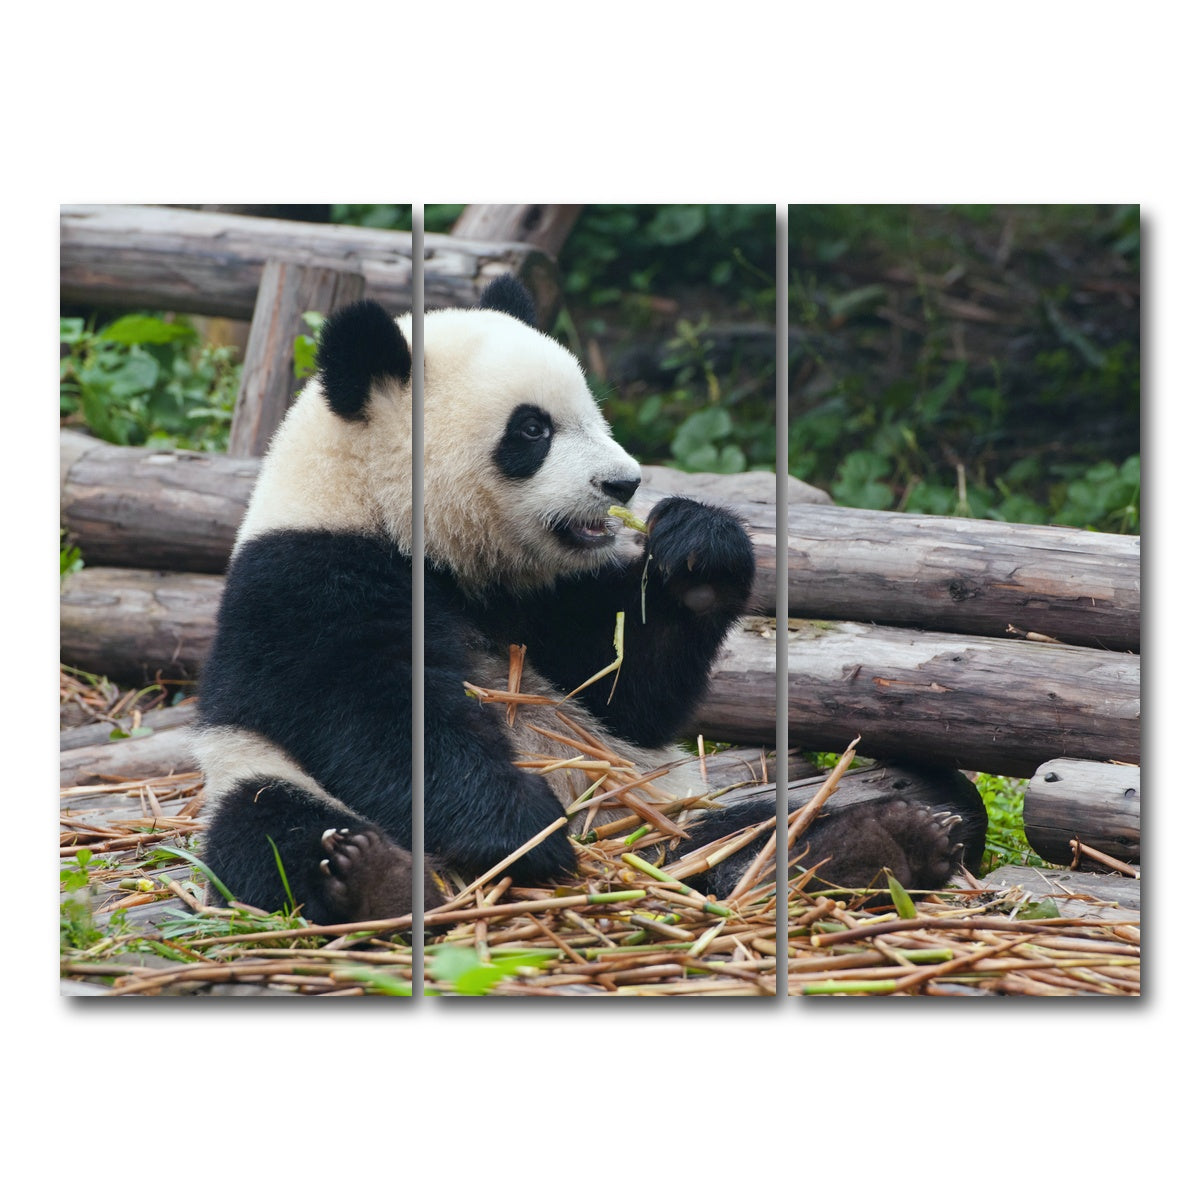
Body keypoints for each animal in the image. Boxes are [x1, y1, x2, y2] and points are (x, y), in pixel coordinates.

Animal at [194, 274, 986, 924]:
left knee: (751, 828)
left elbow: (625, 690)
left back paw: (880, 841)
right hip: (256, 775)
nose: (624, 483)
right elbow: (377, 711)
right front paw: (520, 830)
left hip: (653, 810)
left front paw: (698, 552)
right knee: (270, 828)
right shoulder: (305, 578)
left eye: (592, 413)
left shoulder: (540, 596)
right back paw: (374, 879)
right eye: (532, 428)